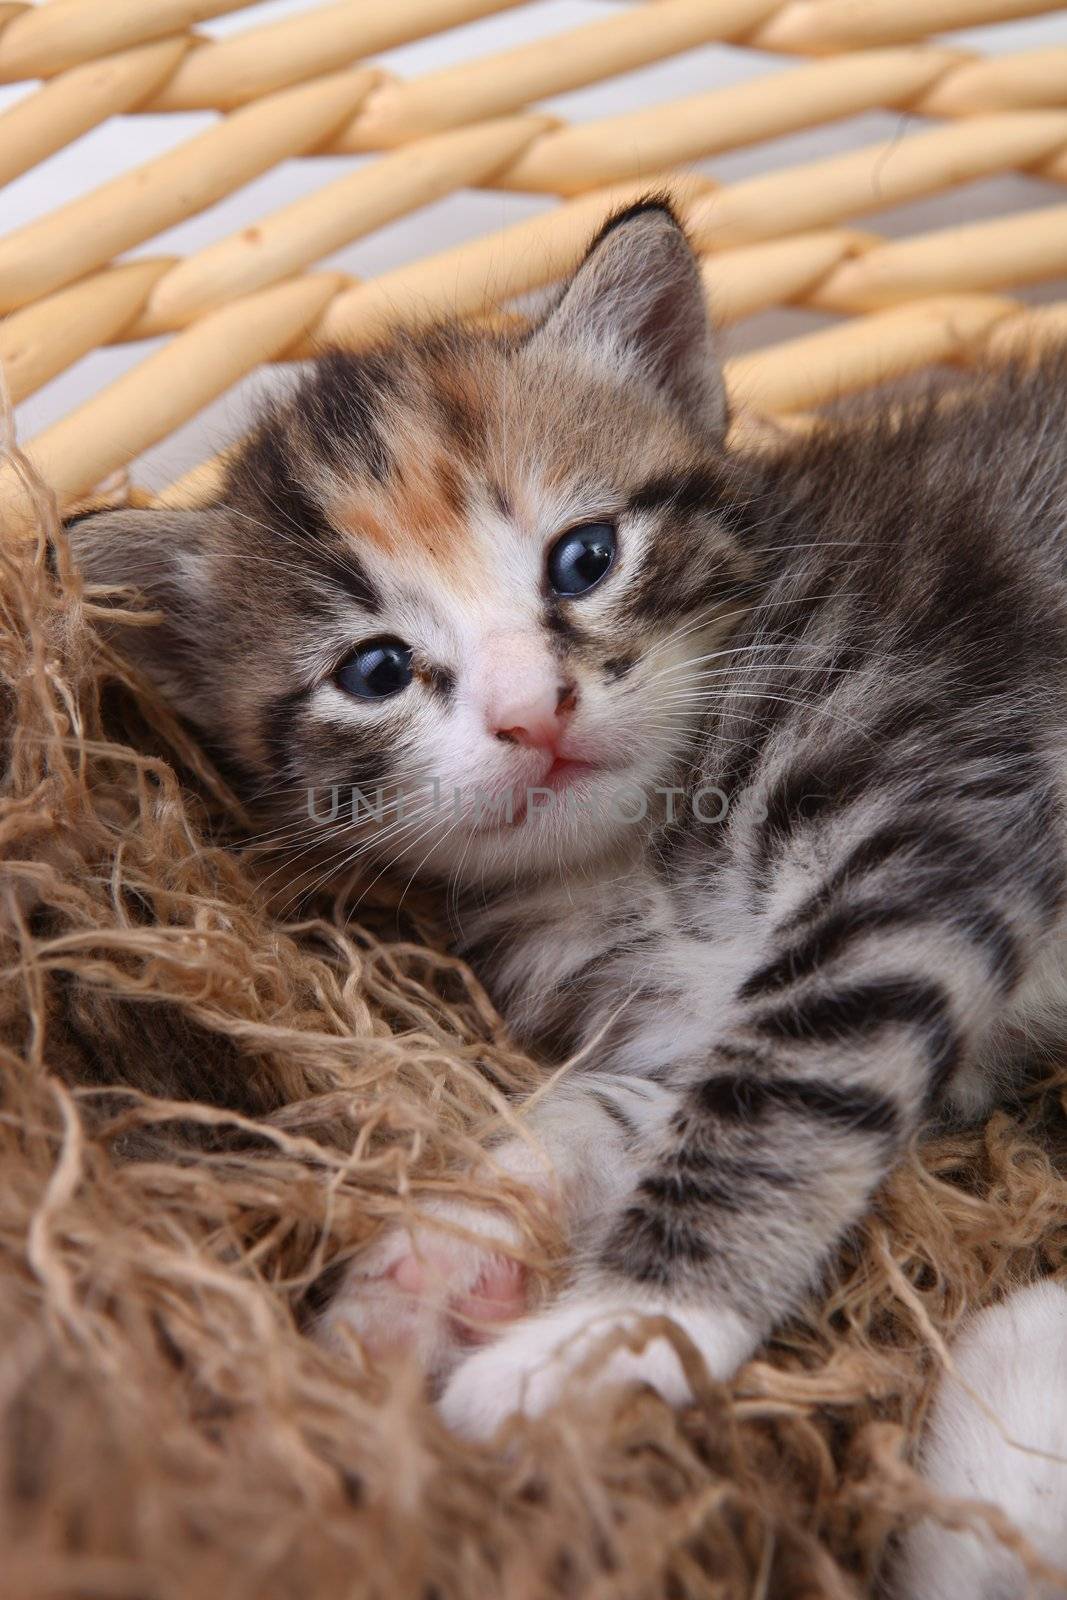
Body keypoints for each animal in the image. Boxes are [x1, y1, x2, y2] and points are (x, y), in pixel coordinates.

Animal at [70, 203, 1067, 1497]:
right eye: (375, 669)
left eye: (583, 558)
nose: (529, 712)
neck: (636, 858)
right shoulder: (693, 1014)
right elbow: (600, 1108)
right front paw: (435, 1268)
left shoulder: (925, 819)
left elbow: (778, 1097)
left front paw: (617, 1333)